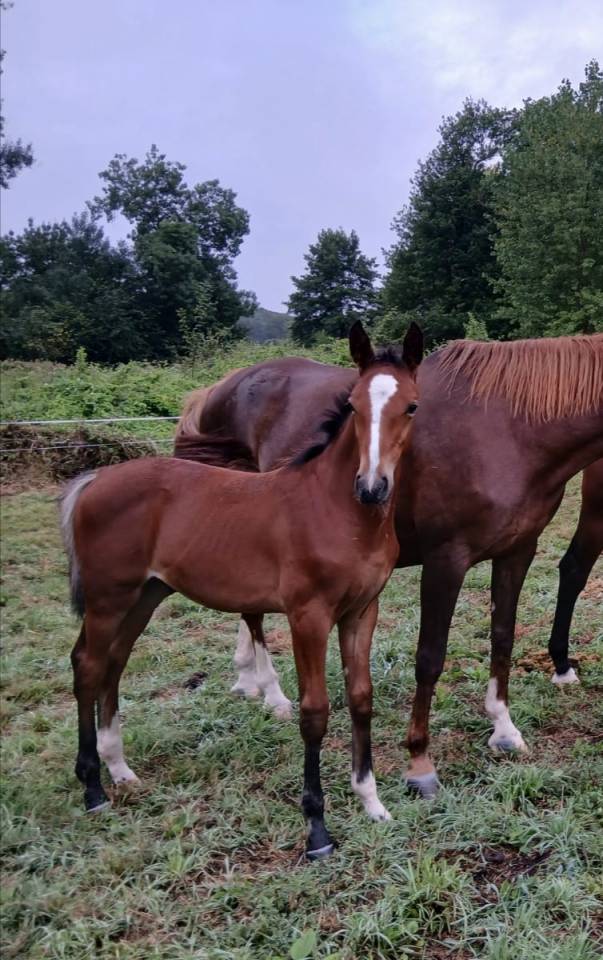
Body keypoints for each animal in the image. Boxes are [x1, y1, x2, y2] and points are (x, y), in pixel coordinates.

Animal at [61, 321, 423, 858]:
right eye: (354, 404)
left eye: (412, 406)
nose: (372, 487)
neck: (339, 512)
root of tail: (93, 480)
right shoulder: (308, 615)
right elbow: (315, 712)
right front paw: (317, 829)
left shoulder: (362, 611)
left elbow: (361, 698)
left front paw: (372, 803)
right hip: (109, 597)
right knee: (87, 665)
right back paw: (92, 789)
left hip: (144, 596)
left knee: (113, 662)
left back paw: (120, 770)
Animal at [174, 333, 603, 797]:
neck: (509, 429)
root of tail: (216, 390)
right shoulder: (445, 560)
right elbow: (430, 657)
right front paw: (419, 763)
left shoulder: (518, 550)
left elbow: (503, 638)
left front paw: (504, 730)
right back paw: (272, 693)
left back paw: (248, 679)